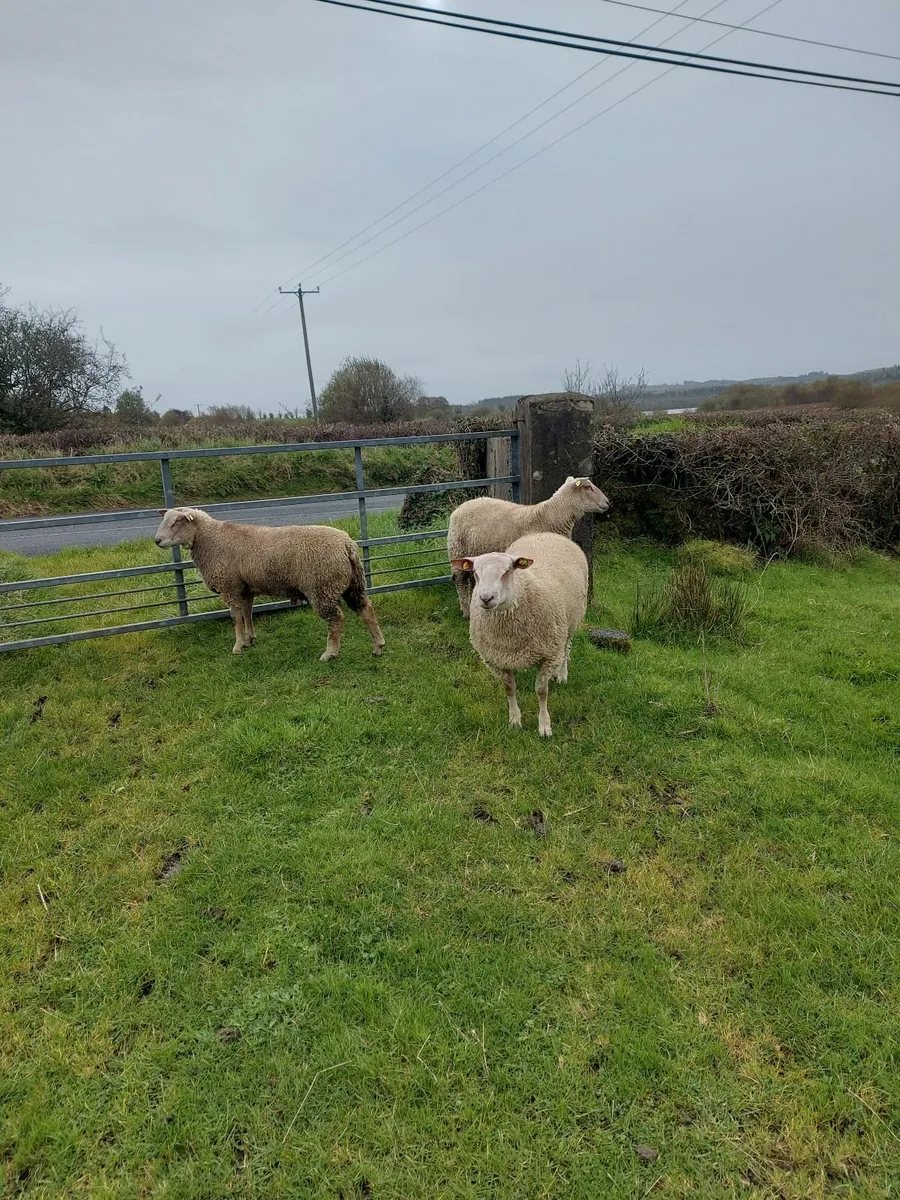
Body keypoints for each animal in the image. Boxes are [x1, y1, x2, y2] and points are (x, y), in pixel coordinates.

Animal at [153, 507, 385, 660]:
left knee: (336, 619)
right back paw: (378, 646)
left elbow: (236, 618)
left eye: (176, 522)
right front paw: (250, 639)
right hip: (351, 584)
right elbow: (247, 614)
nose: (157, 541)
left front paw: (237, 646)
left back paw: (330, 653)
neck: (211, 540)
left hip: (322, 587)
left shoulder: (230, 587)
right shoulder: (245, 588)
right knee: (366, 609)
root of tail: (347, 545)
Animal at [447, 476, 609, 617]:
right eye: (588, 487)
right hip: (457, 549)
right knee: (459, 580)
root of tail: (461, 506)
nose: (607, 502)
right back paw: (466, 611)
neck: (550, 516)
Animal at [451, 531, 588, 737]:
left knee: (566, 650)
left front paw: (544, 725)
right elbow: (509, 688)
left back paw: (562, 674)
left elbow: (541, 691)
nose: (486, 598)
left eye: (506, 571)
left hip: (570, 623)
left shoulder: (549, 653)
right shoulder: (498, 659)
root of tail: (546, 533)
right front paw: (515, 720)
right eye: (475, 573)